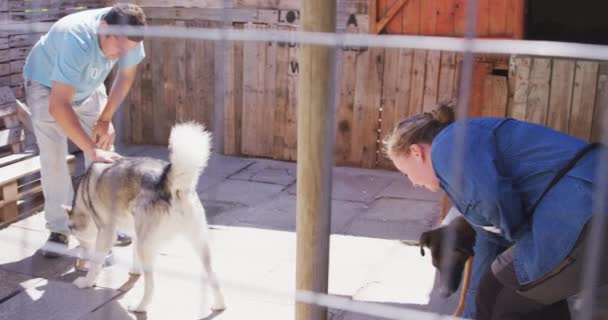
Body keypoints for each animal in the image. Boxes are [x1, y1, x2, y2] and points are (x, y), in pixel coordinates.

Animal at [65, 122, 226, 312]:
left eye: (77, 237)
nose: (80, 261)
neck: (84, 194)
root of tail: (166, 181)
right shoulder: (135, 232)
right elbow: (133, 253)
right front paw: (135, 270)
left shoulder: (106, 232)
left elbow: (96, 263)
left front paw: (87, 282)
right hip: (199, 244)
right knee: (213, 275)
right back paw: (219, 304)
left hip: (148, 247)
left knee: (150, 287)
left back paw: (140, 306)